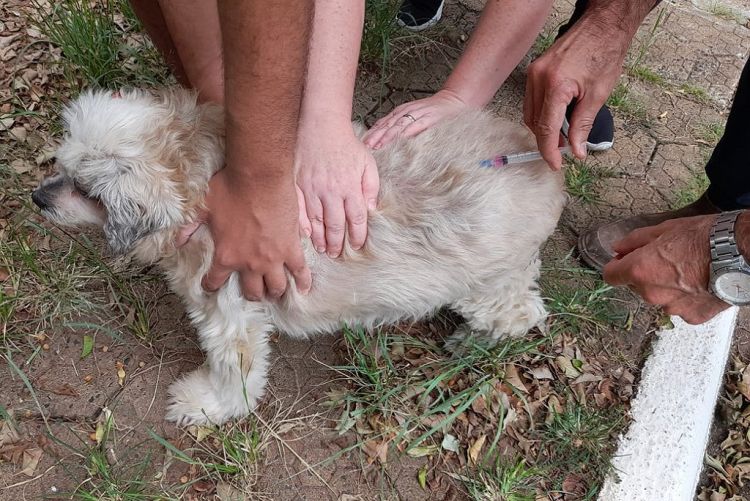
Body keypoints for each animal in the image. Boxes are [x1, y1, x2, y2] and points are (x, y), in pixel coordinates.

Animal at [33, 88, 564, 424]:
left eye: (86, 190)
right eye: (62, 164)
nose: (39, 198)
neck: (202, 190)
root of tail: (538, 162)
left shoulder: (231, 318)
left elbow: (234, 375)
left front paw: (206, 406)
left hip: (485, 287)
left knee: (523, 314)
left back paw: (473, 342)